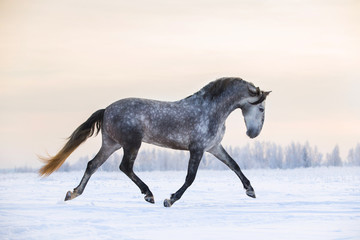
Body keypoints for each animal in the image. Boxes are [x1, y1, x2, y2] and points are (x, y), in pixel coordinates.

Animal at [39, 77, 270, 206]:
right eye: (261, 108)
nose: (253, 134)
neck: (211, 110)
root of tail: (107, 110)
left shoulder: (214, 147)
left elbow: (234, 165)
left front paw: (250, 190)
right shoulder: (197, 149)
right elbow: (190, 178)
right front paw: (170, 199)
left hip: (111, 144)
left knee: (92, 165)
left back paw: (73, 193)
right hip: (132, 144)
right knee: (125, 167)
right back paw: (149, 195)